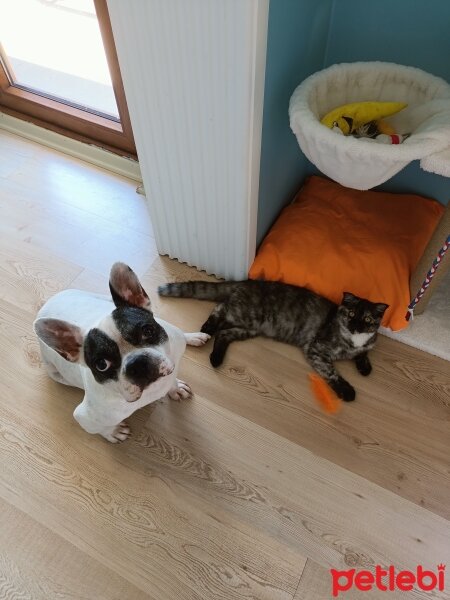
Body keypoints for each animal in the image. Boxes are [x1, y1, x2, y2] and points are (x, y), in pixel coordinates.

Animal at [33, 262, 209, 440]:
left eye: (148, 331)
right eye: (102, 364)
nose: (137, 364)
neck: (154, 389)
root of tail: (50, 301)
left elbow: (172, 378)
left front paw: (175, 387)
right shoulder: (85, 417)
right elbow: (98, 429)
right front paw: (114, 432)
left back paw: (192, 337)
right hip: (55, 373)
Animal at [157, 282, 386, 404]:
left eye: (367, 319)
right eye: (351, 314)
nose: (356, 325)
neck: (353, 340)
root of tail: (243, 281)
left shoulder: (366, 344)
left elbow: (364, 352)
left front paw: (365, 368)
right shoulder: (316, 350)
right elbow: (332, 373)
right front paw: (347, 391)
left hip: (248, 328)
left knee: (223, 334)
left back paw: (216, 358)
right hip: (242, 314)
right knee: (219, 309)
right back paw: (205, 330)